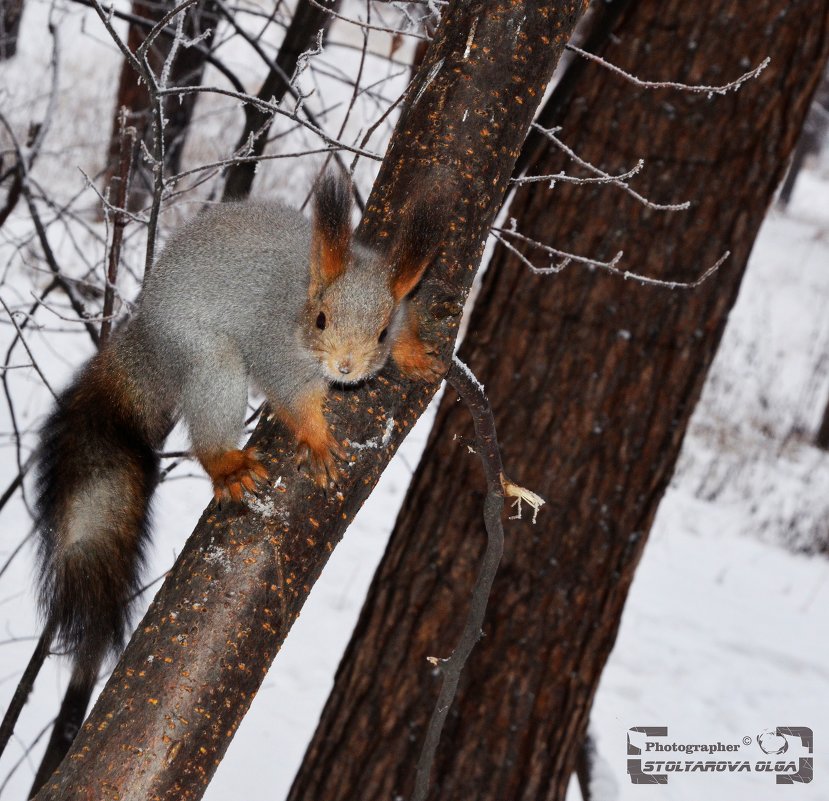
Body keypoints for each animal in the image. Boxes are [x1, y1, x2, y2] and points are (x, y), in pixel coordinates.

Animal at [34, 172, 444, 684]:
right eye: (321, 320)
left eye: (382, 332)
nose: (346, 368)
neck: (303, 295)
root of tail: (149, 331)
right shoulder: (275, 351)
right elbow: (293, 399)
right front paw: (317, 440)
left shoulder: (403, 304)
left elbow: (409, 325)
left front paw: (414, 355)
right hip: (212, 360)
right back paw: (228, 465)